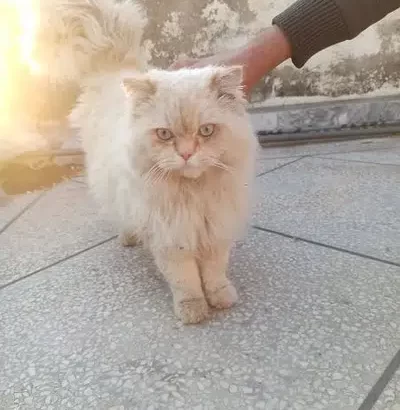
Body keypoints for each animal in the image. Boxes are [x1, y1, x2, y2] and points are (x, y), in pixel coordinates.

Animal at [36, 0, 256, 324]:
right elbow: (186, 278)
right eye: (164, 134)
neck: (193, 195)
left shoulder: (215, 227)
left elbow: (215, 271)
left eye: (206, 131)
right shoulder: (170, 237)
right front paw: (193, 309)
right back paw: (129, 238)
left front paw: (220, 297)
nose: (186, 154)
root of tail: (113, 70)